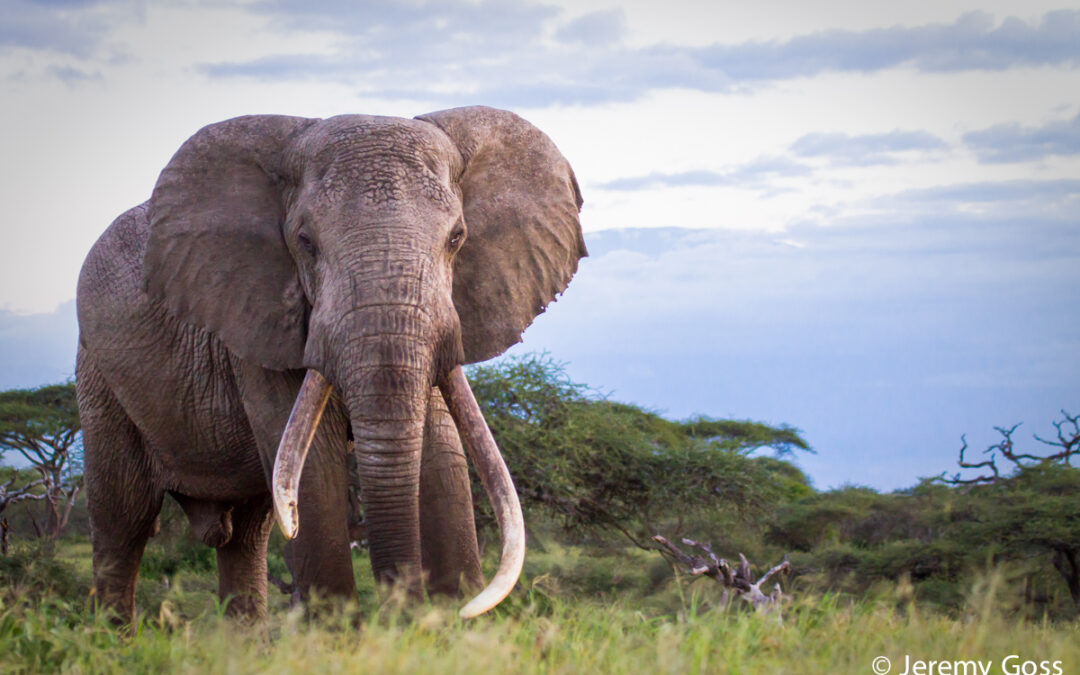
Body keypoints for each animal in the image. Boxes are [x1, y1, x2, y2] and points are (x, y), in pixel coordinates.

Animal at [74, 106, 586, 623]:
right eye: (305, 241)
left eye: (457, 238)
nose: (406, 614)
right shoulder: (258, 321)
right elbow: (316, 470)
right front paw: (341, 630)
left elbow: (442, 456)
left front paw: (456, 622)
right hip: (99, 378)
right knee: (124, 520)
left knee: (246, 535)